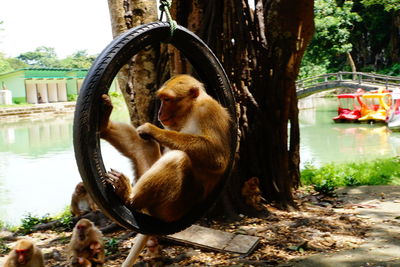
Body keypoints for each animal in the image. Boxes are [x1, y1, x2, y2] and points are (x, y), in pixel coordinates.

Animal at [100, 74, 231, 223]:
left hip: (171, 208)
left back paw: (128, 197)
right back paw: (104, 126)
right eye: (162, 99)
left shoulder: (208, 110)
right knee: (143, 144)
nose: (160, 112)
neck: (191, 110)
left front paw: (152, 129)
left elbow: (218, 158)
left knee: (177, 158)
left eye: (167, 99)